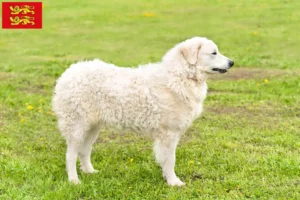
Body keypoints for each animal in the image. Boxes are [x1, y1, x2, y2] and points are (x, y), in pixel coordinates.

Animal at [52, 36, 233, 187]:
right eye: (213, 53)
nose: (232, 62)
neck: (181, 75)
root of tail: (69, 73)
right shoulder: (169, 133)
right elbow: (170, 160)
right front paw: (173, 182)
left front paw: (168, 179)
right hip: (77, 126)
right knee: (71, 155)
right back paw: (74, 180)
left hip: (92, 127)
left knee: (84, 151)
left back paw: (90, 172)